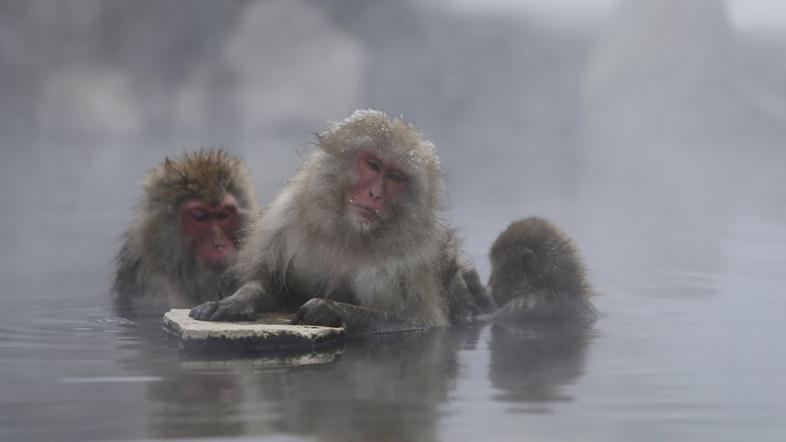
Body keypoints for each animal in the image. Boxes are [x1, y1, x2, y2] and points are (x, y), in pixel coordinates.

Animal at [189, 110, 490, 334]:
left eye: (395, 177)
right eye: (373, 165)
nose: (375, 194)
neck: (351, 234)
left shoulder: (408, 263)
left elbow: (419, 324)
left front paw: (328, 309)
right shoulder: (285, 220)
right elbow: (276, 284)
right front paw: (236, 301)